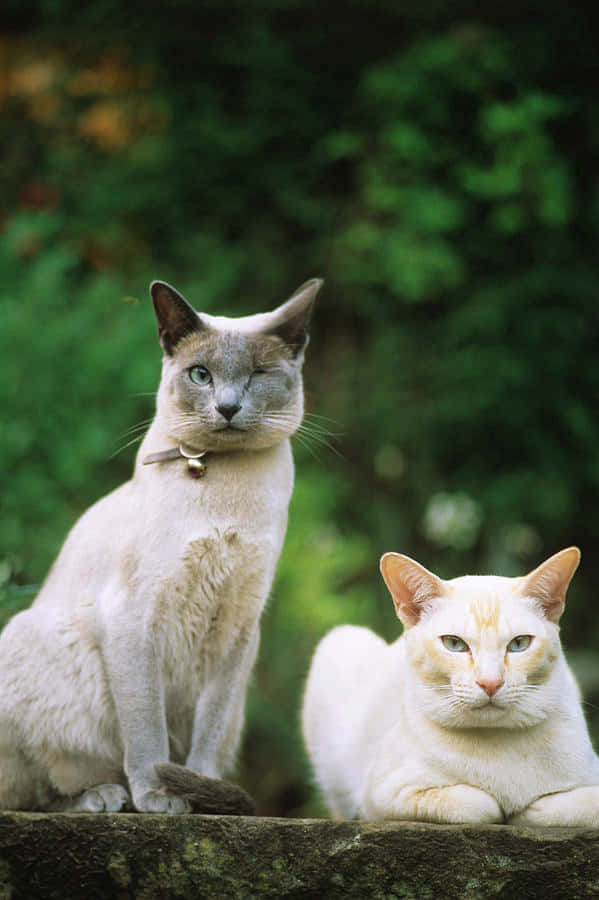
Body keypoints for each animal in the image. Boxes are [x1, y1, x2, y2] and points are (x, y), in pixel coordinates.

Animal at [1, 280, 324, 816]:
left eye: (258, 376)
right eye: (201, 375)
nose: (228, 407)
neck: (225, 493)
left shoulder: (237, 627)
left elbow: (207, 730)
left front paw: (198, 789)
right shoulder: (134, 619)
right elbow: (147, 727)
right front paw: (159, 797)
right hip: (28, 646)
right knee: (32, 791)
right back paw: (105, 798)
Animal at [302, 544, 599, 828]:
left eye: (519, 644)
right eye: (454, 644)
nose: (490, 682)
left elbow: (576, 804)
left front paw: (527, 808)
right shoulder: (383, 795)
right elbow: (481, 804)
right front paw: (511, 809)